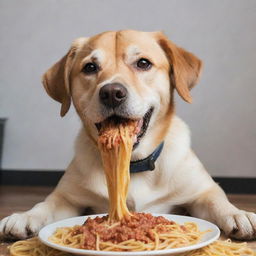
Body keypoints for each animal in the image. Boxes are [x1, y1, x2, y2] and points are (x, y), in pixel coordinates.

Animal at [0, 30, 256, 240]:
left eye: (143, 63)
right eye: (90, 67)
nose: (112, 93)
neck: (134, 165)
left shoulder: (201, 191)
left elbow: (217, 200)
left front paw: (239, 214)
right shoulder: (67, 197)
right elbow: (46, 204)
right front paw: (25, 216)